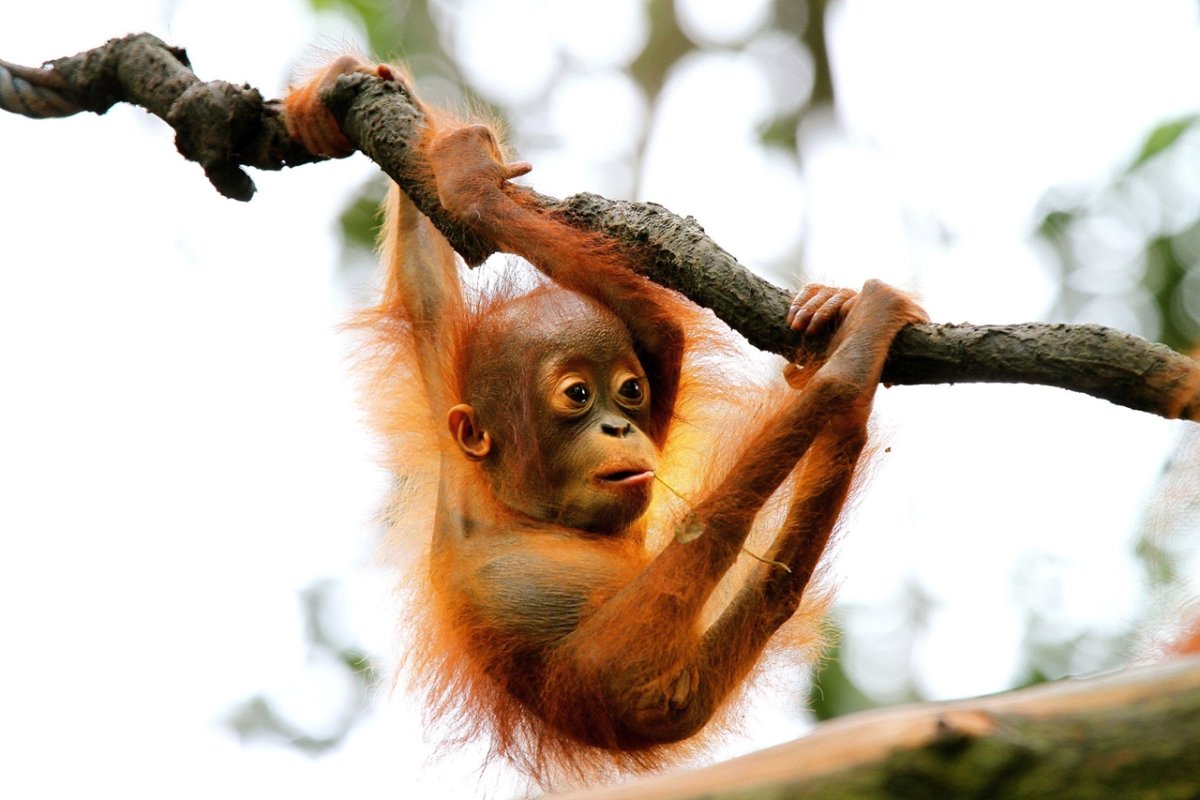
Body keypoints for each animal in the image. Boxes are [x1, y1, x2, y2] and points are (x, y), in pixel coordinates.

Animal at [284, 58, 928, 783]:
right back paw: (845, 366)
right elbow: (621, 660)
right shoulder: (537, 613)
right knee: (745, 590)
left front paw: (361, 95)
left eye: (629, 391)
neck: (513, 508)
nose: (619, 427)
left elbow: (428, 287)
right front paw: (471, 187)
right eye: (577, 396)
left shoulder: (452, 424)